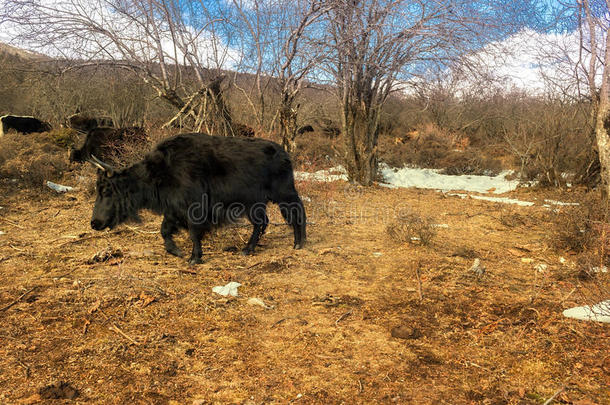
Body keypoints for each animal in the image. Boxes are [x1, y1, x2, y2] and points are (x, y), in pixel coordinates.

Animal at [88, 133, 306, 266]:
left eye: (107, 190)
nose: (94, 223)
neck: (161, 171)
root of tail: (284, 154)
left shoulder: (194, 208)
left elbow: (193, 233)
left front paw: (194, 257)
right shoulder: (173, 209)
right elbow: (164, 230)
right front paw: (176, 251)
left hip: (283, 193)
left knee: (297, 212)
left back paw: (298, 243)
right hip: (254, 203)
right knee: (261, 223)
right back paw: (248, 249)